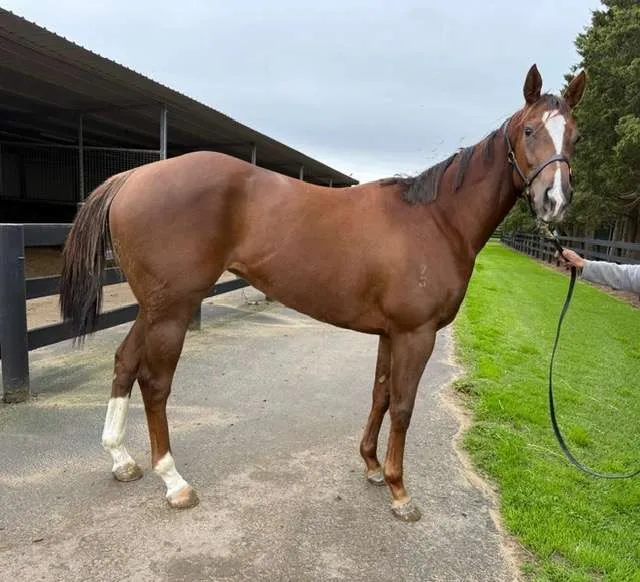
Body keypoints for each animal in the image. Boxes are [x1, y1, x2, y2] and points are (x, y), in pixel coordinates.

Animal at [60, 64, 586, 522]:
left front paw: (372, 467)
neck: (436, 220)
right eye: (530, 131)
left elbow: (379, 395)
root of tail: (134, 175)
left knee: (125, 363)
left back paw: (121, 460)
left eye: (575, 136)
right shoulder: (416, 335)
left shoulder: (391, 333)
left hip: (152, 307)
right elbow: (403, 406)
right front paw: (400, 492)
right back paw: (174, 482)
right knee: (155, 382)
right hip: (173, 308)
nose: (554, 201)